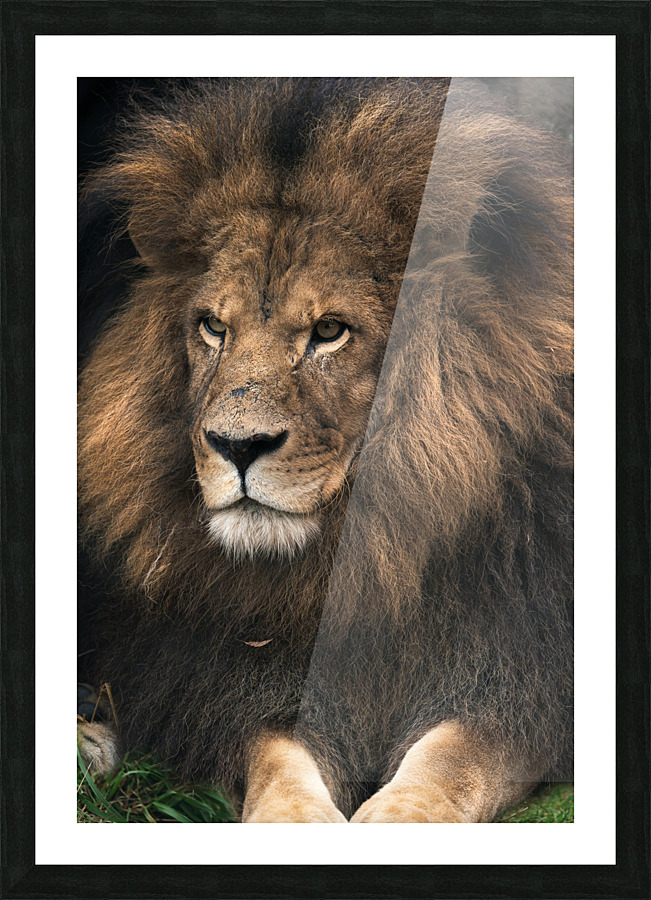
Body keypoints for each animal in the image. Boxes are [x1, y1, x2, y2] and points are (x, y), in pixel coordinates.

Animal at [77, 77, 573, 823]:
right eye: (213, 327)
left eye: (330, 331)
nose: (237, 446)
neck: (367, 556)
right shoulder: (235, 685)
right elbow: (276, 764)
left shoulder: (518, 675)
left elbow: (454, 756)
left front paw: (399, 814)